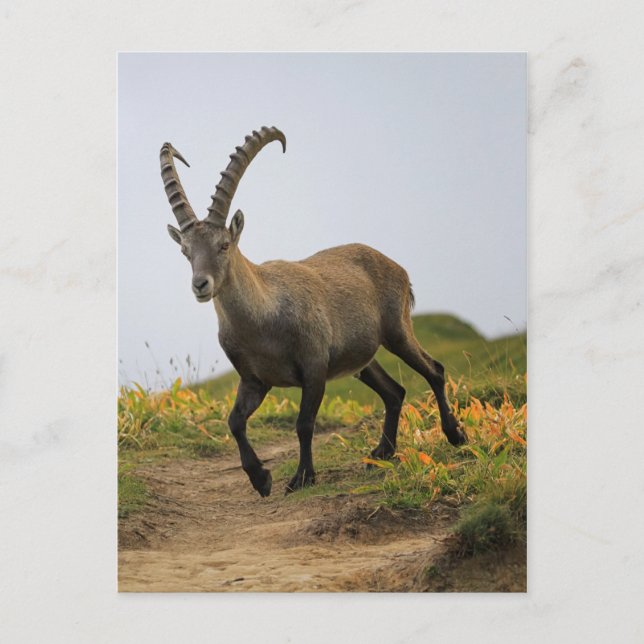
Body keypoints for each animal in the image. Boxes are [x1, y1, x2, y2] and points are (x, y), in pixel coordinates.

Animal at [161, 126, 466, 497]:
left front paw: (302, 477)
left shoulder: (314, 368)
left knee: (434, 371)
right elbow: (234, 422)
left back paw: (455, 435)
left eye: (224, 245)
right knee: (395, 392)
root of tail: (395, 265)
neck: (262, 321)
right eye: (186, 251)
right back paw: (381, 453)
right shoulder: (254, 380)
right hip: (361, 361)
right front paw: (261, 479)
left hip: (397, 331)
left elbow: (304, 424)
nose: (200, 285)